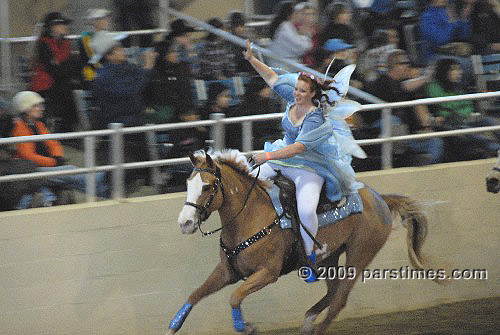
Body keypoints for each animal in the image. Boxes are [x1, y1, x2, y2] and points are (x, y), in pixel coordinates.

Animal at [168, 151, 438, 334]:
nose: (185, 223)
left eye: (206, 186)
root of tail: (380, 199)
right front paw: (173, 324)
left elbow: (234, 297)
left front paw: (247, 327)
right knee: (333, 291)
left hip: (359, 255)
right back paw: (308, 320)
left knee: (339, 301)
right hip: (329, 258)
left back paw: (315, 326)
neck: (251, 216)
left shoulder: (267, 273)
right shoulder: (227, 271)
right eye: (188, 183)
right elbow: (195, 294)